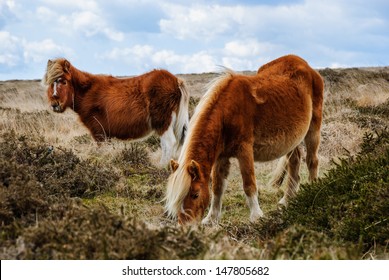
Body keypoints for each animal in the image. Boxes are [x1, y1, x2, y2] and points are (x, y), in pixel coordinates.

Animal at [41, 58, 189, 165]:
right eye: (51, 83)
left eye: (64, 82)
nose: (55, 105)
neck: (87, 92)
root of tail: (176, 81)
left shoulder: (99, 132)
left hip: (162, 122)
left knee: (168, 144)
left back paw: (161, 167)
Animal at [165, 55, 322, 225]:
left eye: (195, 194)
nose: (185, 226)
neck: (226, 114)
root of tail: (304, 64)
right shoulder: (221, 157)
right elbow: (217, 187)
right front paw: (211, 218)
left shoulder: (244, 151)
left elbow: (249, 184)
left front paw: (256, 217)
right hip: (292, 138)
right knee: (294, 163)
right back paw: (287, 200)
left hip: (313, 129)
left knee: (312, 161)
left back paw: (313, 192)